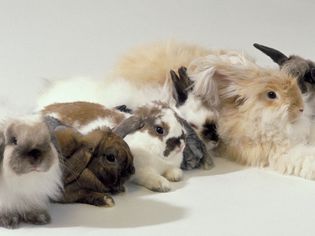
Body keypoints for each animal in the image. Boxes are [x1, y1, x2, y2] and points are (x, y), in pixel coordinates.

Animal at [43, 101, 189, 192]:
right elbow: (151, 176)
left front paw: (176, 175)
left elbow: (172, 170)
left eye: (178, 120)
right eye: (159, 129)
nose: (182, 144)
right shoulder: (142, 170)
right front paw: (163, 185)